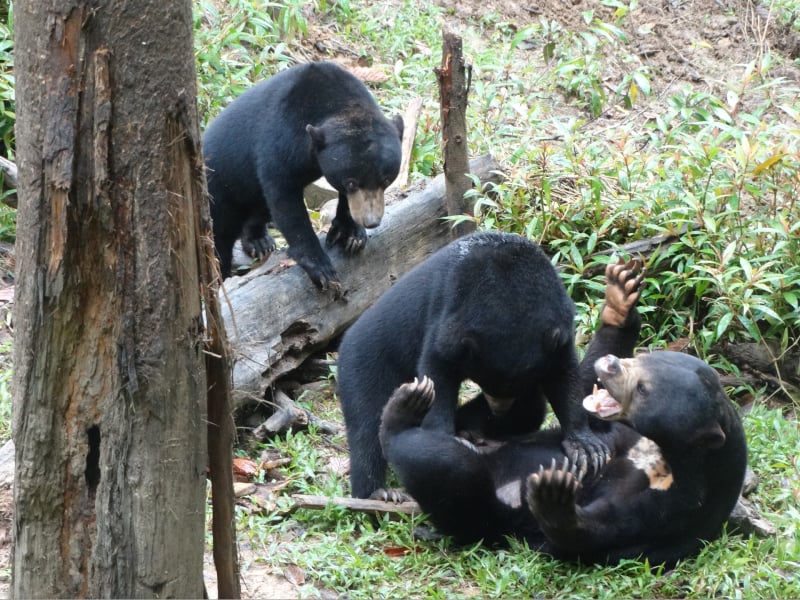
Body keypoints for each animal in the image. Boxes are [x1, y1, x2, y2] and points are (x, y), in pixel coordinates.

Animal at [202, 61, 404, 288]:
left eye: (385, 180)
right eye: (351, 182)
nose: (371, 221)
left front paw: (351, 235)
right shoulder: (281, 136)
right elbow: (285, 198)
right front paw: (322, 269)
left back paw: (260, 241)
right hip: (218, 187)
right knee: (220, 236)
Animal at [336, 231, 610, 500]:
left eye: (513, 386)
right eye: (486, 383)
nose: (499, 410)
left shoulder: (559, 332)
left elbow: (564, 376)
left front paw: (588, 449)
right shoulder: (449, 317)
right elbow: (437, 369)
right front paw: (441, 441)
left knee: (531, 409)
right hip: (365, 360)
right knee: (366, 424)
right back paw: (378, 492)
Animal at [379, 262, 748, 566]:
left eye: (643, 390)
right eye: (643, 359)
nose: (611, 365)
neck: (658, 451)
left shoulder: (676, 505)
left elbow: (602, 529)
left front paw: (553, 493)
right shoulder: (614, 431)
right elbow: (580, 390)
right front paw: (621, 296)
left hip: (485, 508)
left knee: (454, 475)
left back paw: (403, 414)